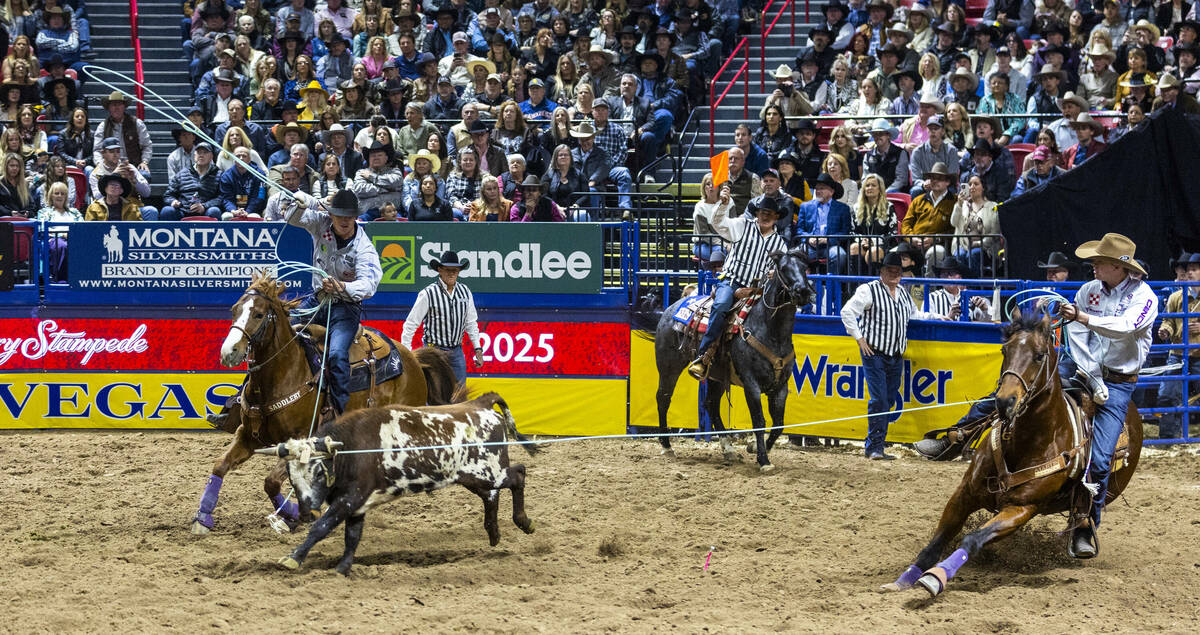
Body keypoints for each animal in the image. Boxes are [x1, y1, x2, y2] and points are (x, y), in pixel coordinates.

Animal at [192, 273, 458, 535]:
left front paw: (294, 514)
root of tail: (412, 358)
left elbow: (272, 482)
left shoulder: (301, 439)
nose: (229, 351)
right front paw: (203, 518)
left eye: (258, 314)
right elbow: (220, 466)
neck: (284, 375)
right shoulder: (248, 435)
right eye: (234, 310)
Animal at [648, 247, 816, 470]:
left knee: (711, 404)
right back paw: (667, 446)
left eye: (804, 267)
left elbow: (778, 424)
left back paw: (727, 449)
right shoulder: (751, 383)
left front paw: (756, 448)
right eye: (783, 268)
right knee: (663, 398)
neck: (771, 331)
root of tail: (671, 308)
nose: (803, 291)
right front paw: (764, 460)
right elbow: (759, 421)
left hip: (716, 375)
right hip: (668, 367)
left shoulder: (780, 385)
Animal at [883, 309, 1142, 597]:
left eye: (1039, 355)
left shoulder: (1021, 508)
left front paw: (936, 577)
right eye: (1005, 350)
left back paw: (1082, 540)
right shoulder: (965, 493)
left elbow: (972, 539)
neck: (1028, 440)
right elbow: (937, 540)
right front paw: (904, 579)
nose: (1005, 401)